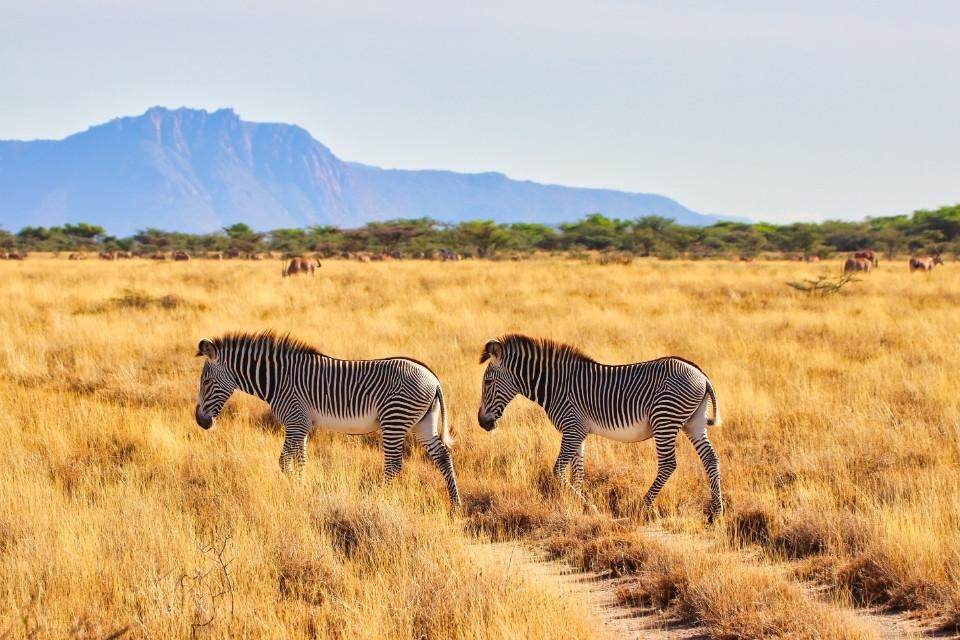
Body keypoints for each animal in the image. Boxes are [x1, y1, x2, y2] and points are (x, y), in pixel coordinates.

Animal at [194, 331, 460, 504]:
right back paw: (454, 503)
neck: (277, 381)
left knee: (394, 464)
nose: (200, 422)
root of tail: (433, 379)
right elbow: (300, 460)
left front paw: (295, 490)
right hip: (423, 423)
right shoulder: (301, 425)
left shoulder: (295, 421)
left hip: (395, 419)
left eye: (206, 381)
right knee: (442, 456)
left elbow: (284, 462)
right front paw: (301, 489)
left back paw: (378, 499)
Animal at [477, 335, 723, 521]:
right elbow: (577, 472)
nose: (482, 423)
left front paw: (589, 506)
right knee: (710, 459)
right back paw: (716, 513)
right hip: (694, 422)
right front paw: (581, 508)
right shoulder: (578, 432)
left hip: (665, 419)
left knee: (668, 464)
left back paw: (643, 505)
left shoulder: (572, 428)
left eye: (487, 382)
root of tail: (701, 375)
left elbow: (558, 470)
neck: (555, 386)